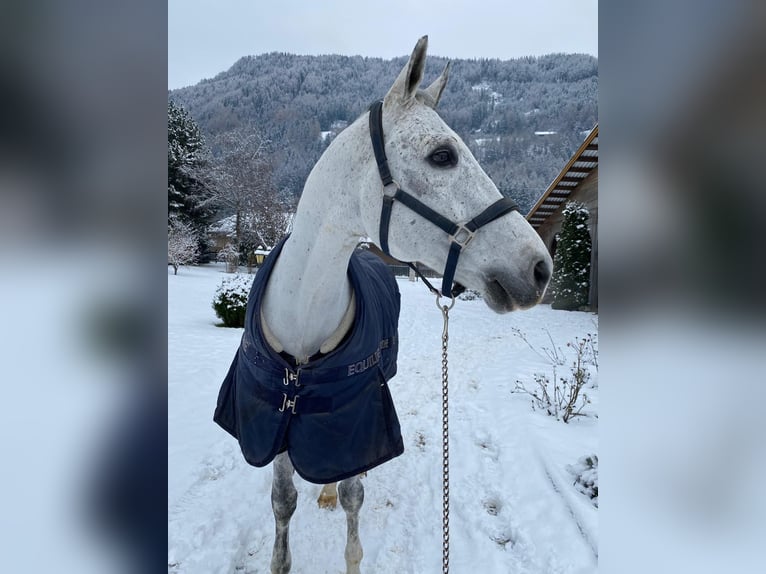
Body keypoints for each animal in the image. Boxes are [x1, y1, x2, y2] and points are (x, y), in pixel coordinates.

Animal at [213, 36, 556, 574]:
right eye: (442, 155)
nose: (540, 268)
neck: (302, 324)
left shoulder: (356, 423)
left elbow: (353, 499)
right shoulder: (274, 427)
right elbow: (283, 508)